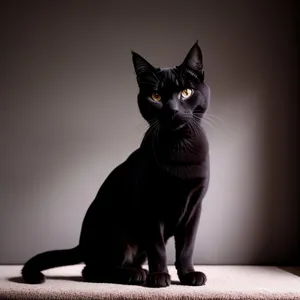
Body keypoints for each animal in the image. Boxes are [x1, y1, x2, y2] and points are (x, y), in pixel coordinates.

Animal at [21, 42, 211, 288]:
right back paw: (134, 274)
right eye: (156, 96)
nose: (172, 110)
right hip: (116, 232)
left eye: (186, 92)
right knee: (92, 270)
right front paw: (159, 277)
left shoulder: (194, 208)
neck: (179, 146)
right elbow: (158, 247)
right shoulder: (150, 207)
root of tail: (82, 244)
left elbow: (187, 247)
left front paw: (189, 275)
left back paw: (138, 270)